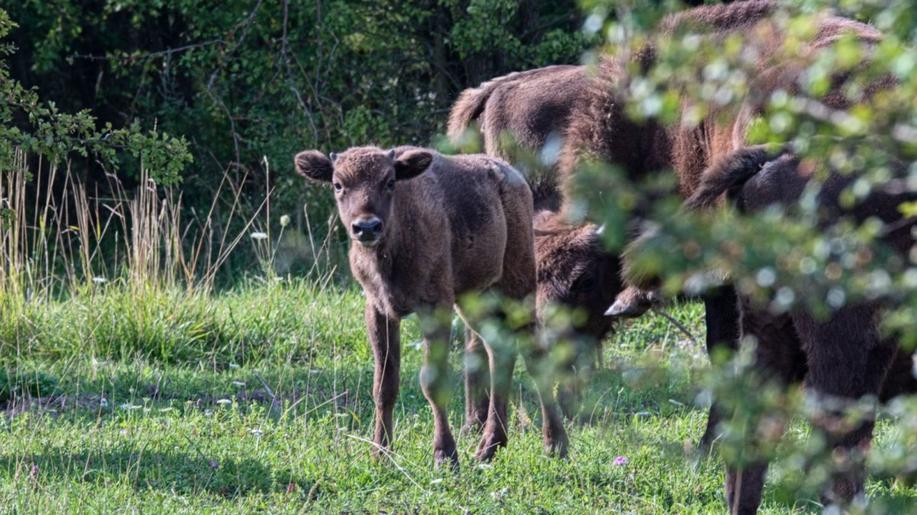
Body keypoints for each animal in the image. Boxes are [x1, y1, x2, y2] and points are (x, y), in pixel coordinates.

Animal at [294, 145, 564, 468]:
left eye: (390, 181)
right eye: (338, 184)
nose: (367, 227)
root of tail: (512, 175)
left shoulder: (435, 308)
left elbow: (432, 383)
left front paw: (445, 456)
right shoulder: (379, 310)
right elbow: (384, 384)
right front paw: (380, 453)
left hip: (518, 287)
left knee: (535, 354)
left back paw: (555, 445)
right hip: (473, 300)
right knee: (499, 351)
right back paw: (488, 448)